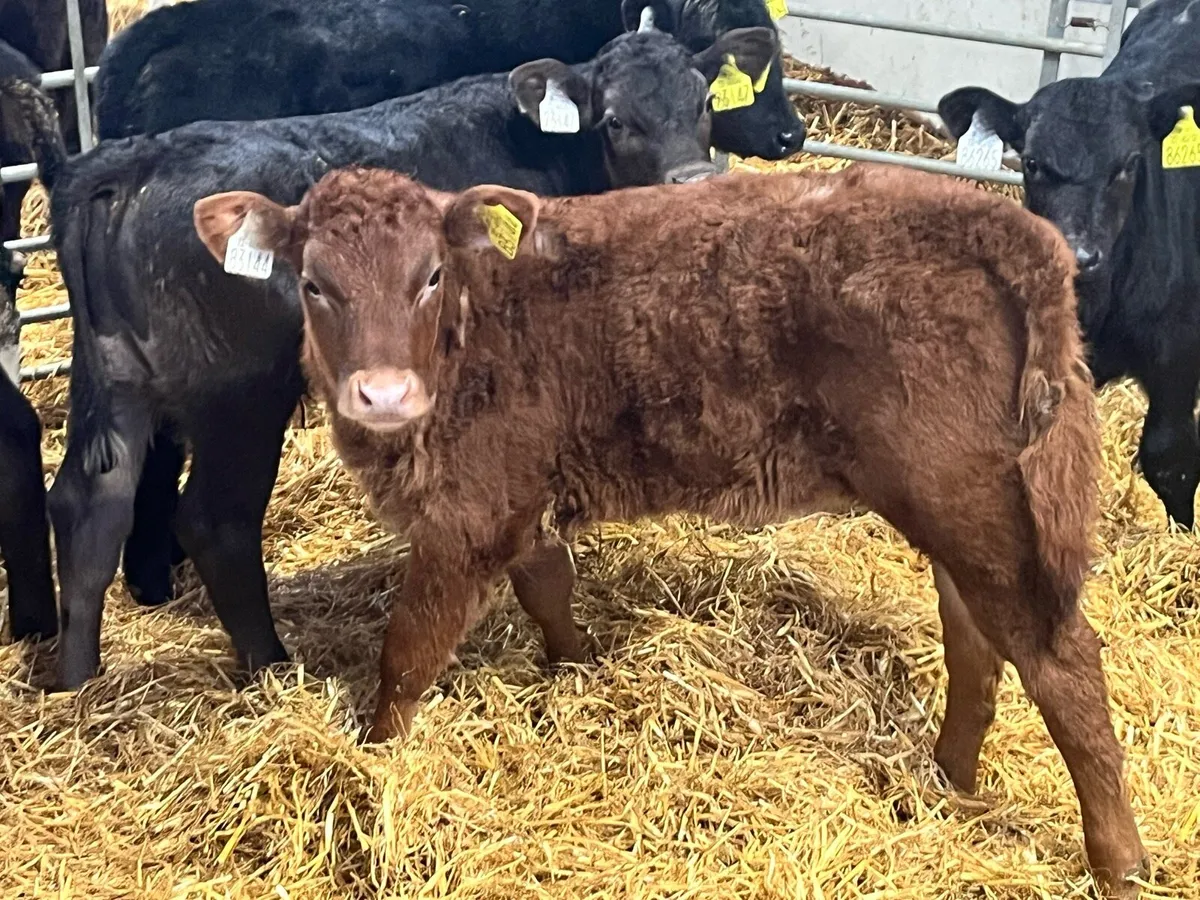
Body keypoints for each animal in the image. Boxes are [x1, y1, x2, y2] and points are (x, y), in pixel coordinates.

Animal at [46, 25, 777, 690]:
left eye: (704, 102)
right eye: (618, 119)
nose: (692, 183)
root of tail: (133, 163)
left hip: (116, 379)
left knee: (91, 504)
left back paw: (76, 683)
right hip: (240, 397)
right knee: (214, 521)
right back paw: (273, 668)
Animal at [192, 163, 1145, 896]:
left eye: (428, 276)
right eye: (314, 284)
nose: (383, 393)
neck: (475, 330)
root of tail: (999, 220)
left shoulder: (469, 513)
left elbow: (407, 656)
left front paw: (372, 765)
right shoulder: (526, 494)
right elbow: (549, 591)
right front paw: (578, 670)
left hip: (968, 500)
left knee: (1062, 660)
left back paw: (1119, 859)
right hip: (969, 508)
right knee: (976, 644)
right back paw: (947, 780)